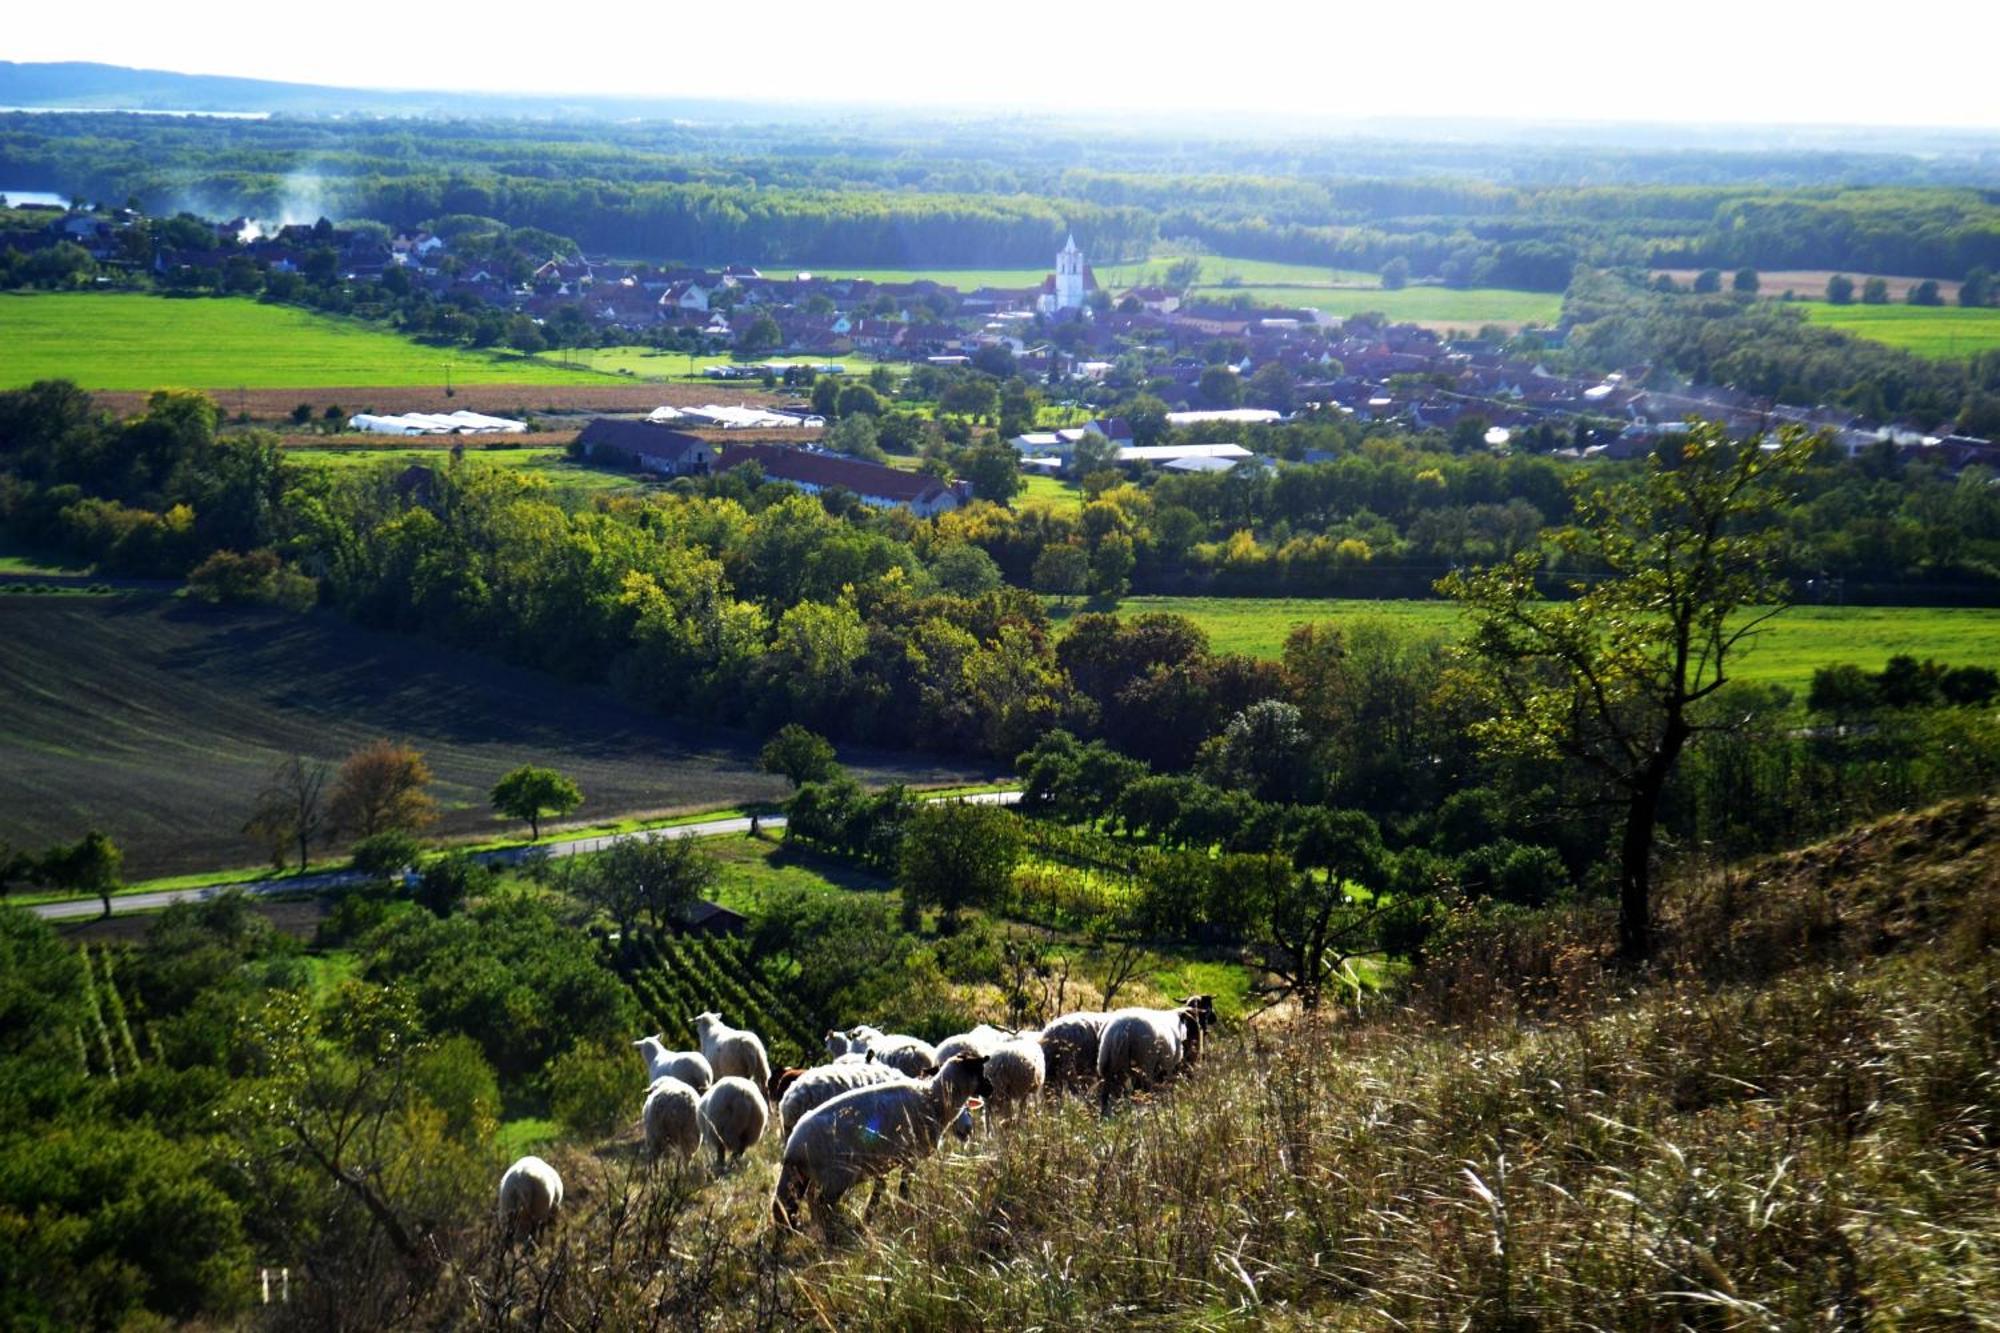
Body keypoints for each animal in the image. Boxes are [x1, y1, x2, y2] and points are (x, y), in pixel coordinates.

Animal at [772, 1056, 992, 1232]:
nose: (968, 1129)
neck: (931, 1097)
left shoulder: (883, 1159)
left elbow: (880, 1188)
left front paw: (868, 1218)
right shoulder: (907, 1156)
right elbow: (902, 1190)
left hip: (805, 1172)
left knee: (789, 1204)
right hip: (834, 1176)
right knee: (817, 1204)